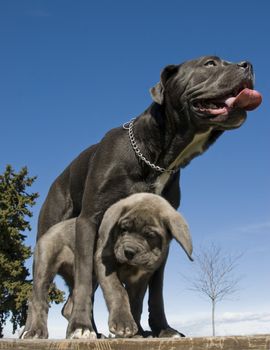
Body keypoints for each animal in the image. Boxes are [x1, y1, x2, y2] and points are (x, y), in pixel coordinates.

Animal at [21, 193, 192, 338]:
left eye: (150, 235)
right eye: (124, 228)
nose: (129, 251)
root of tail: (52, 229)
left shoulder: (140, 280)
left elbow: (136, 305)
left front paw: (137, 332)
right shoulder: (104, 263)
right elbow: (117, 291)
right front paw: (124, 324)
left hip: (89, 278)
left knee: (69, 306)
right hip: (45, 266)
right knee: (39, 299)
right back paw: (36, 331)